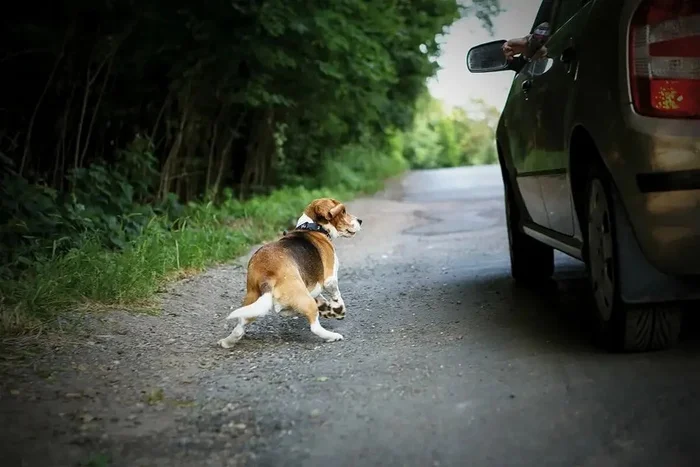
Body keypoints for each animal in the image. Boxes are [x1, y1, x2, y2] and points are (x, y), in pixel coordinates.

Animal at [217, 197, 360, 348]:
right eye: (343, 211)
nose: (360, 221)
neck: (312, 227)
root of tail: (267, 276)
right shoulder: (330, 279)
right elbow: (336, 296)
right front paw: (338, 309)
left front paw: (327, 308)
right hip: (304, 299)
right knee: (314, 326)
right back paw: (333, 336)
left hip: (252, 300)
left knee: (239, 328)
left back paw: (226, 342)